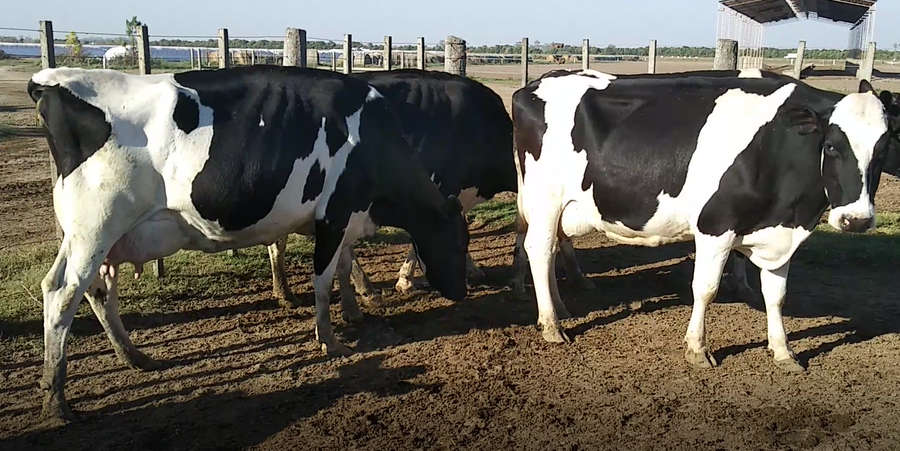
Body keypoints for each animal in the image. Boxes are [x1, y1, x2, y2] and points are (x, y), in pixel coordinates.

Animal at [27, 65, 470, 420]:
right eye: (458, 241)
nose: (463, 292)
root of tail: (53, 80)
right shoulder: (334, 214)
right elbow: (322, 280)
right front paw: (329, 340)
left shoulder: (342, 220)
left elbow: (343, 268)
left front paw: (353, 313)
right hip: (95, 226)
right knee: (63, 294)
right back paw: (56, 399)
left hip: (101, 236)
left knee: (94, 290)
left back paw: (133, 356)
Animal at [510, 67, 898, 374]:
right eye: (831, 146)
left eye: (884, 148)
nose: (856, 220)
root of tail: (537, 83)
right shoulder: (716, 225)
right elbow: (705, 288)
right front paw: (698, 349)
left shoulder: (781, 232)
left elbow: (776, 295)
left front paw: (783, 351)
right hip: (545, 199)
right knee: (539, 250)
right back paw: (551, 325)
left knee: (551, 249)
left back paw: (559, 308)